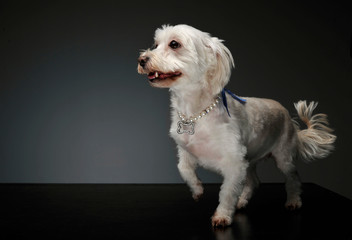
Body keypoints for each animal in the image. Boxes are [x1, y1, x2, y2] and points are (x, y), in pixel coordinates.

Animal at [136, 24, 336, 229]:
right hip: (250, 160)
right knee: (254, 181)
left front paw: (222, 216)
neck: (196, 113)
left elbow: (227, 192)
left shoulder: (234, 163)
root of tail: (288, 116)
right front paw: (197, 189)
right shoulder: (186, 151)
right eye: (156, 44)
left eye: (174, 44)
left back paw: (293, 201)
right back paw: (242, 201)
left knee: (293, 177)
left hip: (283, 156)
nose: (142, 59)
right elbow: (183, 168)